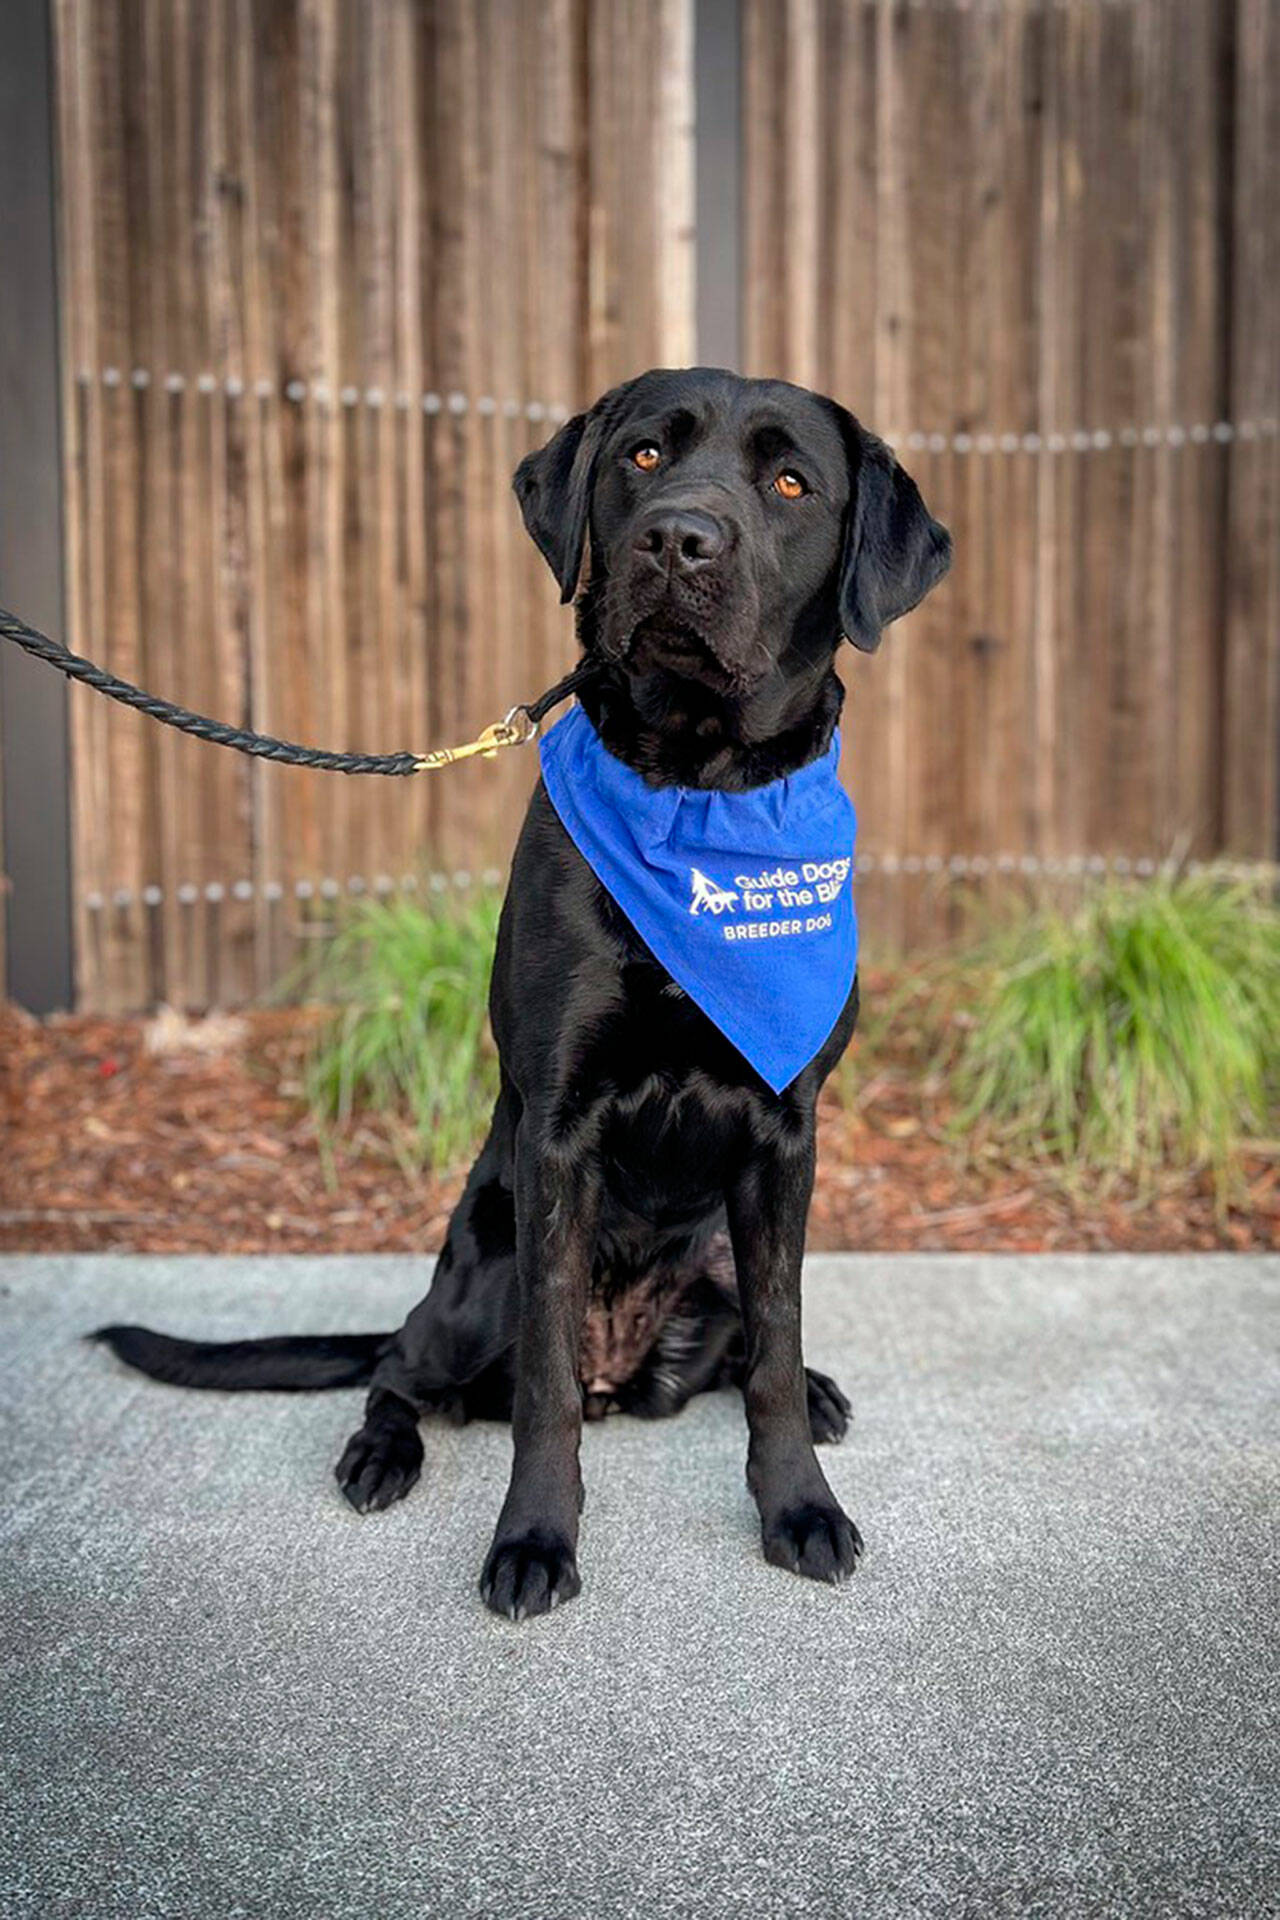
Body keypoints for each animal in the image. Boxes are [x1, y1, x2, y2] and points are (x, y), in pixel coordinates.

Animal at [100, 362, 951, 1620]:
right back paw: (378, 1452)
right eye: (643, 455)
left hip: (716, 1253)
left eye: (791, 483)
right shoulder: (557, 1133)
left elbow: (776, 1346)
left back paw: (816, 1388)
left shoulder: (784, 1135)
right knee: (402, 1370)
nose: (677, 539)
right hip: (479, 1276)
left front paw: (799, 1504)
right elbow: (544, 1389)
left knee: (746, 1349)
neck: (694, 788)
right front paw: (534, 1540)